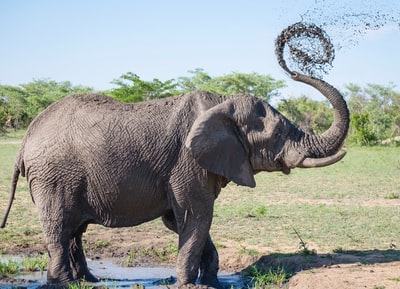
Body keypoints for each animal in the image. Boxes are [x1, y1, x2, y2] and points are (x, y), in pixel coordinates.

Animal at [0, 68, 346, 286]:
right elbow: (197, 215)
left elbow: (182, 221)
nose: (292, 69)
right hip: (53, 177)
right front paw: (188, 284)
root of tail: (26, 139)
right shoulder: (186, 162)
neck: (221, 102)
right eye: (277, 134)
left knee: (74, 231)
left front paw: (211, 282)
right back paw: (63, 283)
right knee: (60, 227)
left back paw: (88, 281)